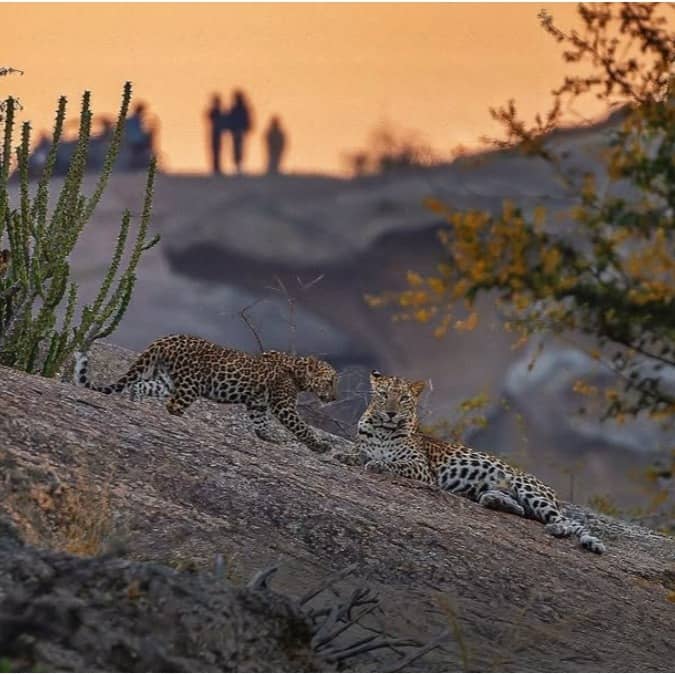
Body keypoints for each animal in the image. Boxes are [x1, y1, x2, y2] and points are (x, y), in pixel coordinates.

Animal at [73, 334, 338, 453]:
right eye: (330, 382)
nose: (335, 398)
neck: (299, 372)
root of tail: (165, 339)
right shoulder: (283, 405)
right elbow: (301, 426)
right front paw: (320, 445)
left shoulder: (257, 404)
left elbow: (261, 423)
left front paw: (270, 438)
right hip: (192, 385)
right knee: (173, 405)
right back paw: (182, 420)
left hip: (167, 380)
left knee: (140, 386)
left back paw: (136, 403)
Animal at [356, 370, 605, 554]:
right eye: (383, 395)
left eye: (404, 399)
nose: (391, 413)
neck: (383, 431)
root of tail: (552, 493)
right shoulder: (362, 446)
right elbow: (358, 453)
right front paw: (354, 457)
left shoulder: (421, 468)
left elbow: (395, 463)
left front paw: (378, 464)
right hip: (499, 490)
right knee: (522, 510)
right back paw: (494, 501)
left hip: (527, 487)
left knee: (567, 522)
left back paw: (559, 528)